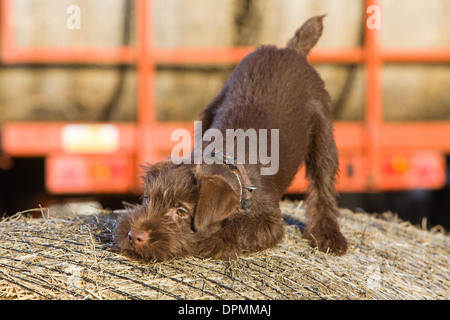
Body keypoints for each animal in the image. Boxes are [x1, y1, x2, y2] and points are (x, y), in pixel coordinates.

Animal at [112, 15, 348, 262]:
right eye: (148, 199)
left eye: (181, 211)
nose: (134, 235)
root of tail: (289, 50)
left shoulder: (270, 220)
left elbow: (244, 227)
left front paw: (217, 241)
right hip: (210, 110)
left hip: (323, 132)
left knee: (323, 187)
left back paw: (328, 234)